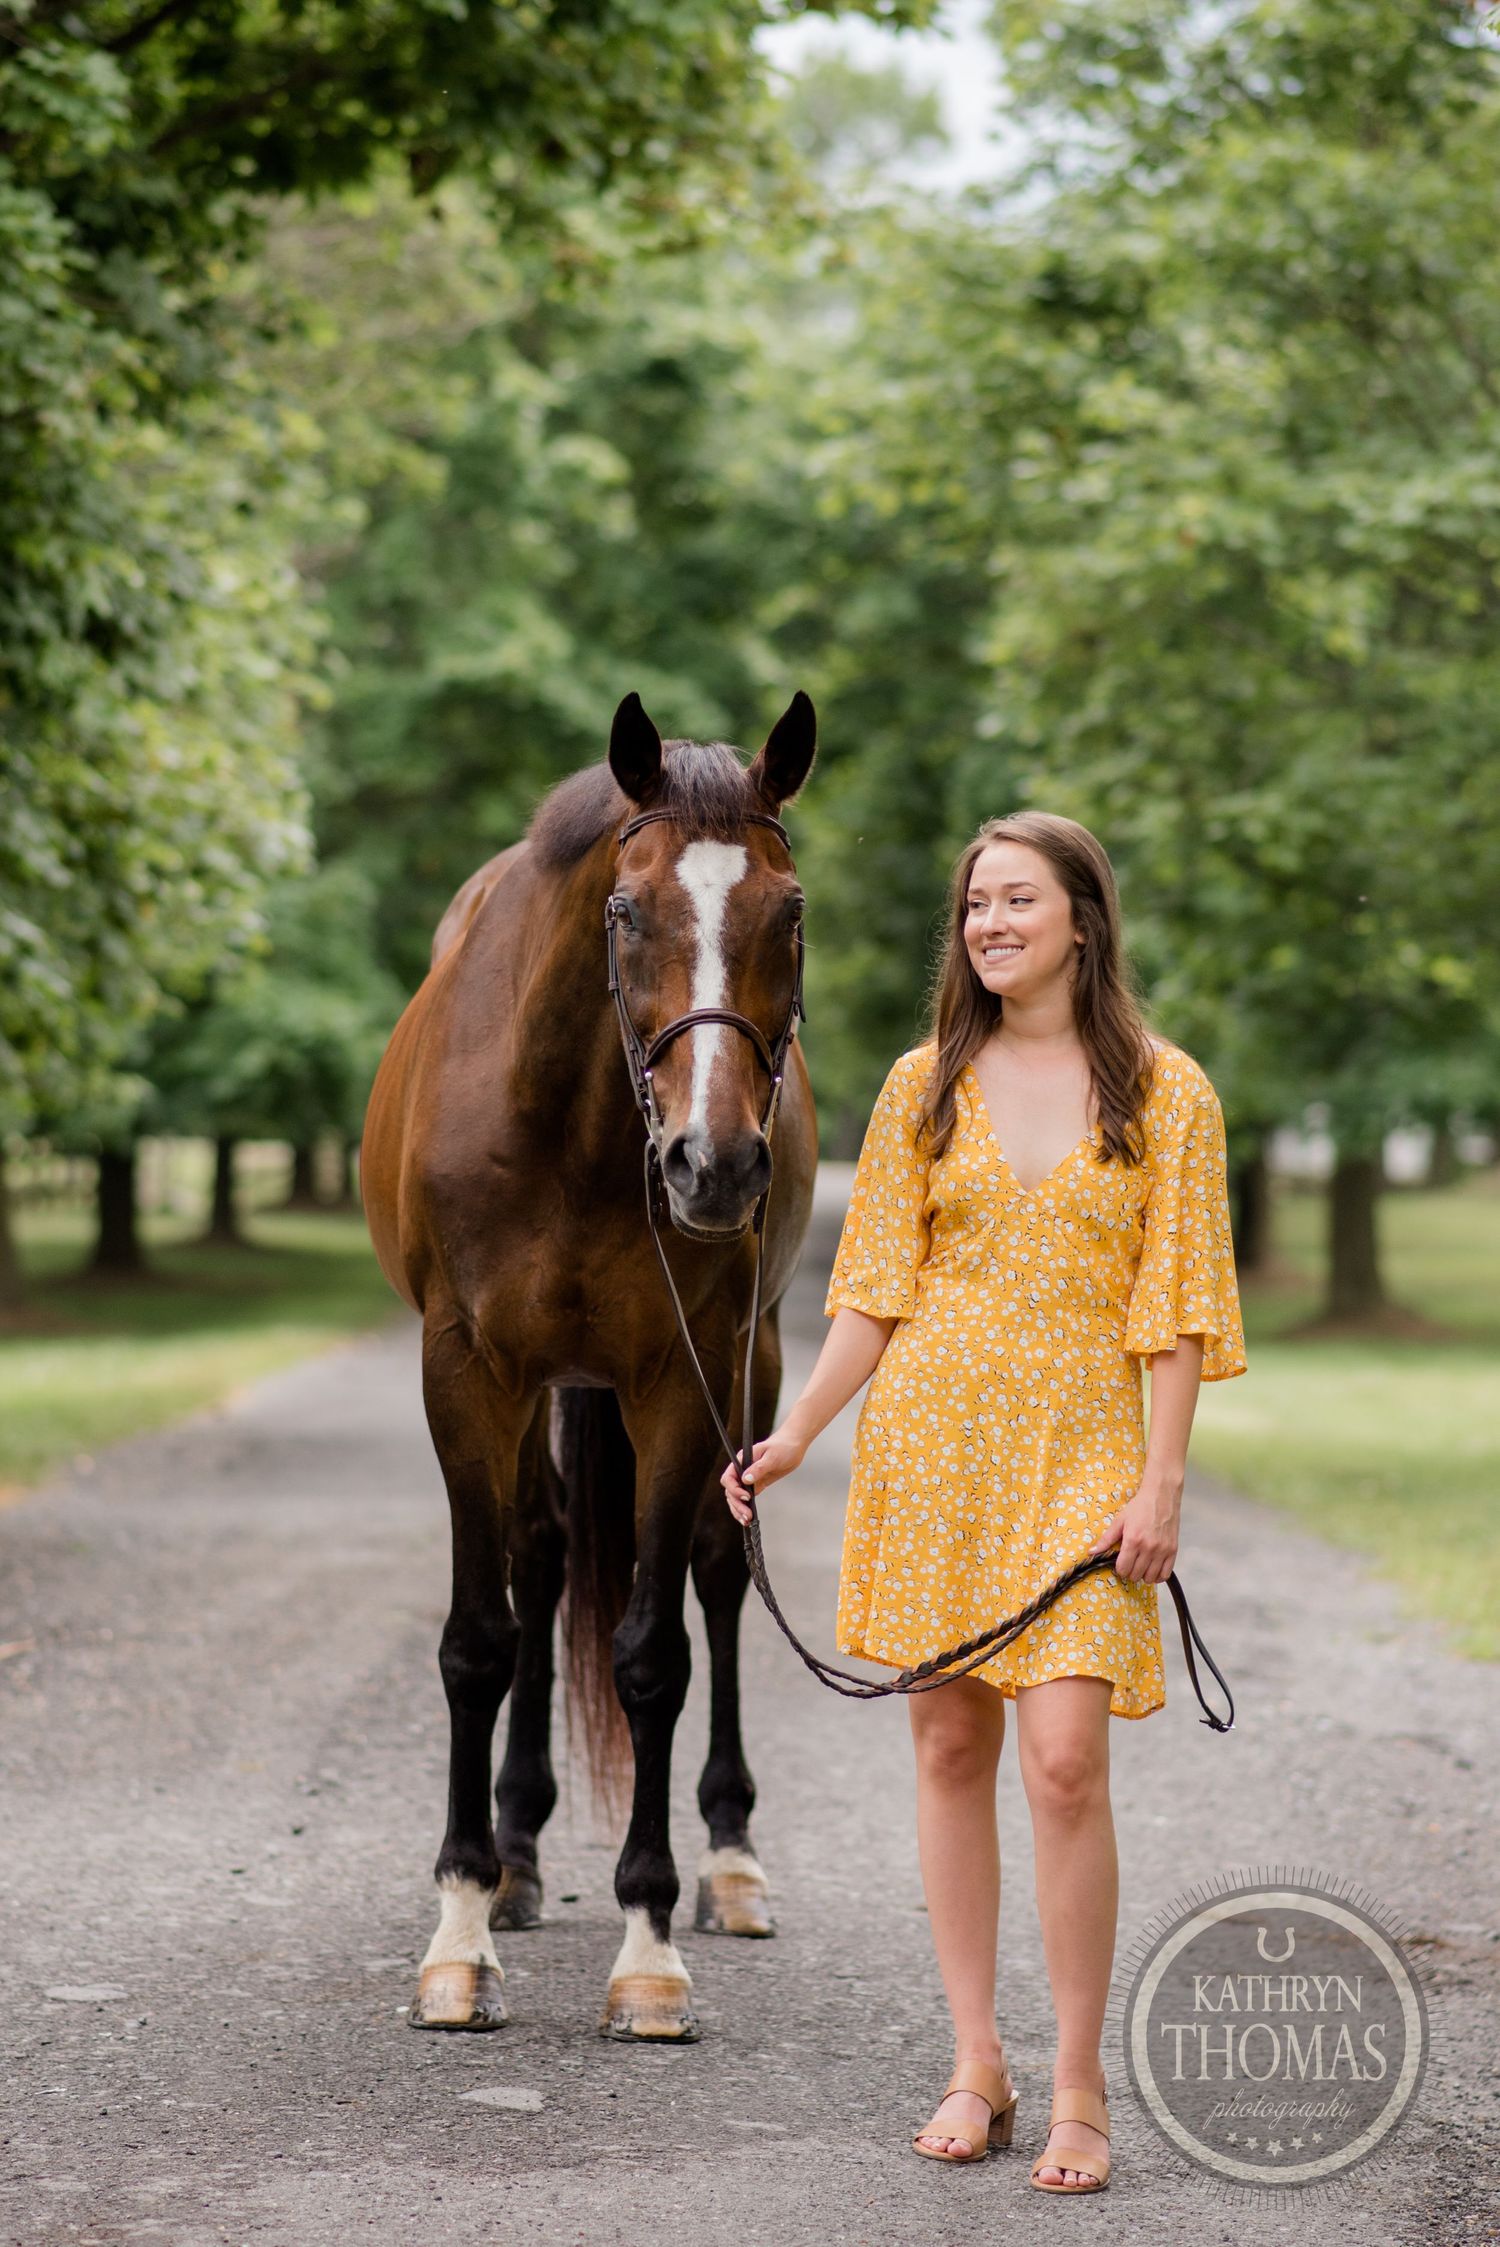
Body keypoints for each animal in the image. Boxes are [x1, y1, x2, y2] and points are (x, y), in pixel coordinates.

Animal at [361, 690, 818, 2041]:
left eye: (791, 912)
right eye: (627, 910)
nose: (715, 1166)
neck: (565, 1118)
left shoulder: (679, 1378)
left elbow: (653, 1654)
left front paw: (649, 1947)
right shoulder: (464, 1372)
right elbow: (480, 1637)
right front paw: (460, 1928)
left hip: (749, 1367)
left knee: (718, 1576)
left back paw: (730, 1860)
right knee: (542, 1556)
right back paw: (514, 1854)